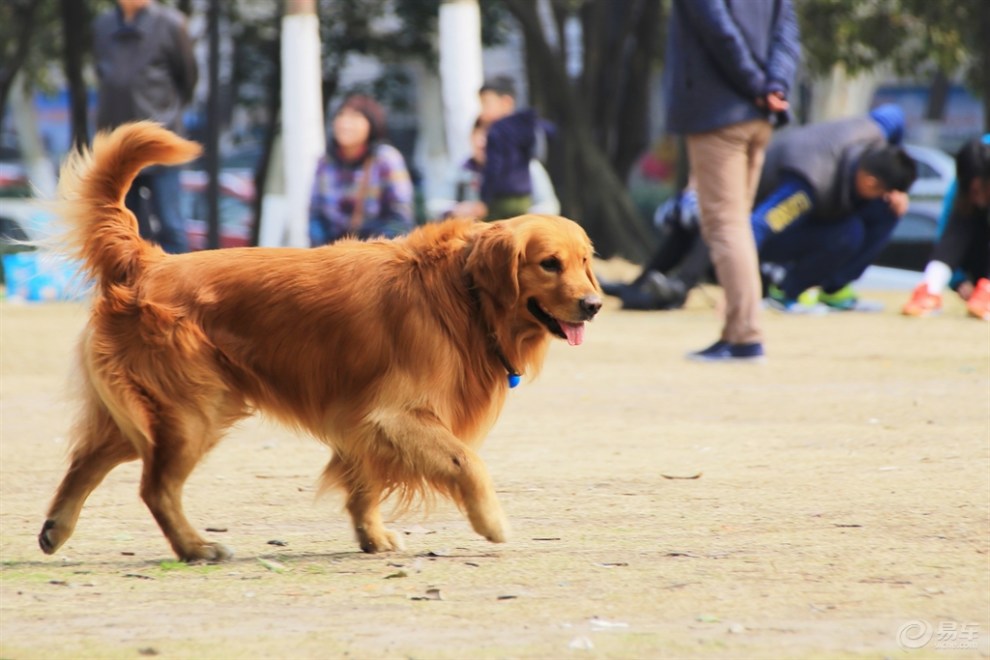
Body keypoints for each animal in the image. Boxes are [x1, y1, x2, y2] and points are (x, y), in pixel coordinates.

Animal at [38, 121, 604, 560]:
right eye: (548, 263)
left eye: (584, 262)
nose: (594, 305)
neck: (464, 295)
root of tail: (148, 260)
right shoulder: (395, 414)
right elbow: (468, 462)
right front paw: (492, 522)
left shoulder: (362, 418)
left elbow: (365, 485)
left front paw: (372, 535)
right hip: (195, 408)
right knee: (155, 487)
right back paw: (196, 547)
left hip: (157, 407)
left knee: (86, 461)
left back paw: (55, 528)